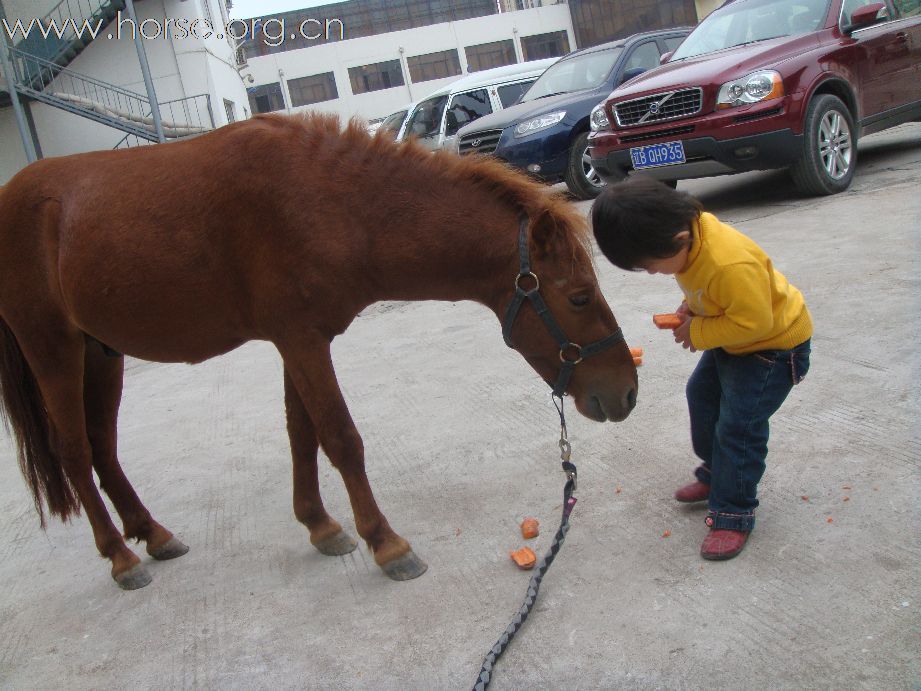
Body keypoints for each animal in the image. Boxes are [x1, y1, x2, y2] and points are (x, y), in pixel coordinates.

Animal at [0, 112, 632, 588]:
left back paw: (152, 535)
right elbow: (341, 437)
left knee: (103, 451)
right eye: (579, 296)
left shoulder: (299, 340)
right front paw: (386, 542)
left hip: (101, 354)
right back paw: (120, 556)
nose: (626, 393)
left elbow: (301, 433)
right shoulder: (302, 340)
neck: (332, 204)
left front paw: (320, 526)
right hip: (53, 349)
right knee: (75, 452)